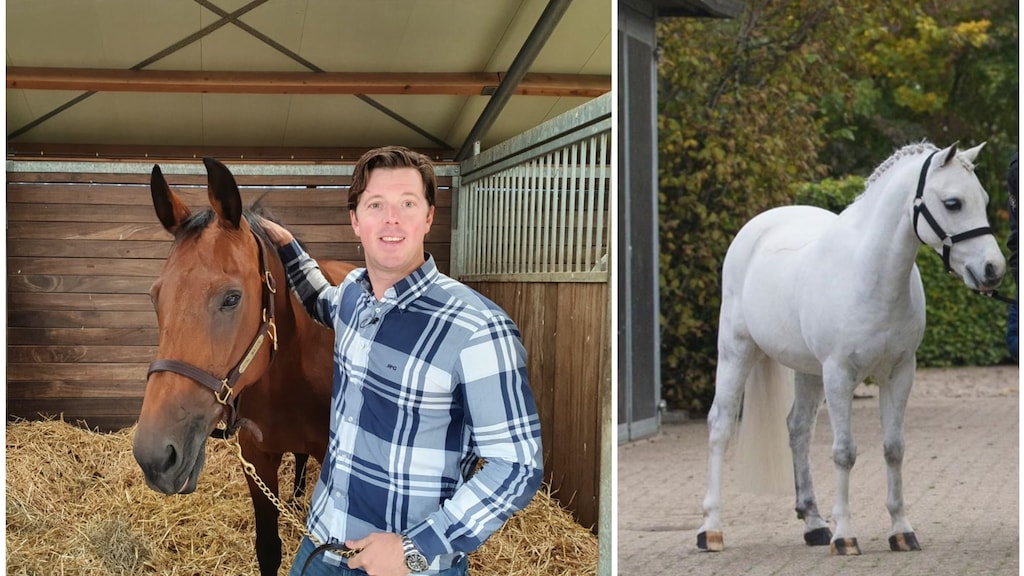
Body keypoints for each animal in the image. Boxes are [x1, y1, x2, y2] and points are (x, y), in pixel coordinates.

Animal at [696, 142, 1006, 555]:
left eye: (985, 200)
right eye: (953, 203)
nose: (992, 270)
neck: (871, 275)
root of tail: (759, 226)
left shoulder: (899, 373)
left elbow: (894, 448)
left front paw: (901, 531)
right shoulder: (839, 374)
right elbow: (844, 451)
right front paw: (845, 536)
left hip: (807, 371)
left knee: (798, 429)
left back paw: (813, 523)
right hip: (737, 351)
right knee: (720, 424)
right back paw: (711, 530)